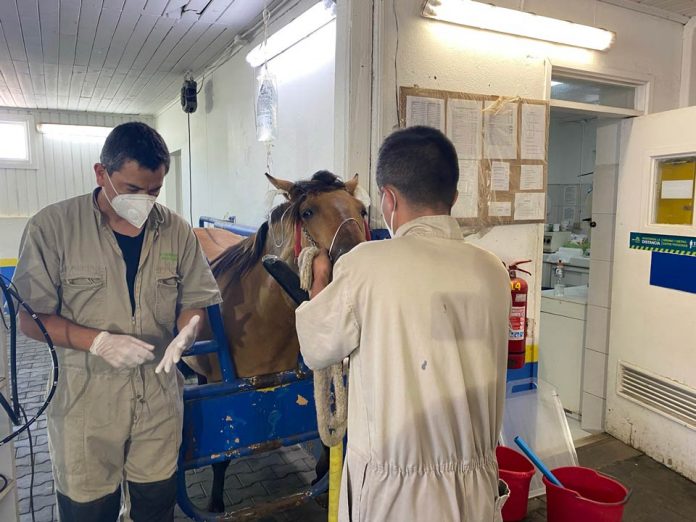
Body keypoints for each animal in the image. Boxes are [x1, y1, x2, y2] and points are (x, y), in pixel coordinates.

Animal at [185, 169, 370, 510]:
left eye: (361, 210)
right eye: (308, 212)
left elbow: (325, 430)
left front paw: (321, 475)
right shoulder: (223, 403)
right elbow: (221, 456)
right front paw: (216, 504)